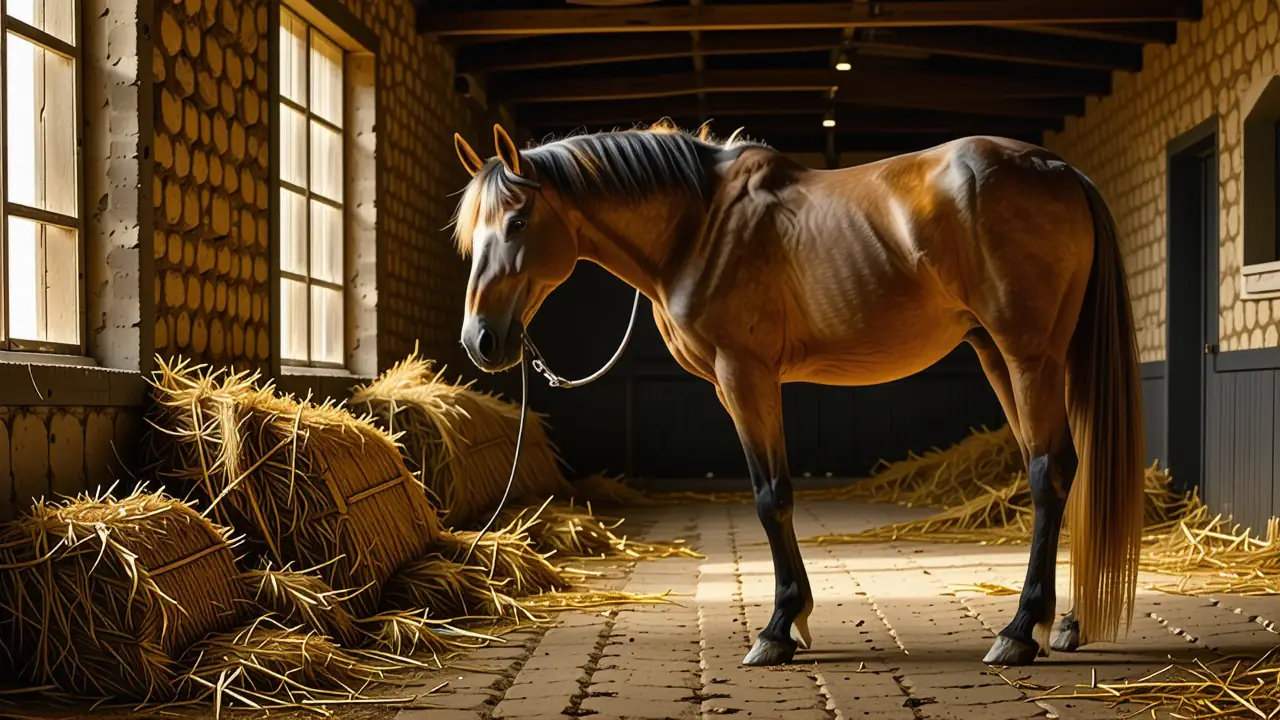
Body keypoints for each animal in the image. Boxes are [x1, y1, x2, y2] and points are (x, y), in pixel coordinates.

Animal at [449, 122, 1145, 668]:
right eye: (472, 234)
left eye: (517, 221)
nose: (481, 340)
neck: (699, 227)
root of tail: (1057, 168)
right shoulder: (738, 386)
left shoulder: (745, 375)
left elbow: (771, 496)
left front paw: (779, 627)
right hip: (1001, 354)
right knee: (1063, 466)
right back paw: (1066, 624)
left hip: (1028, 355)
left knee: (1049, 471)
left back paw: (1019, 630)